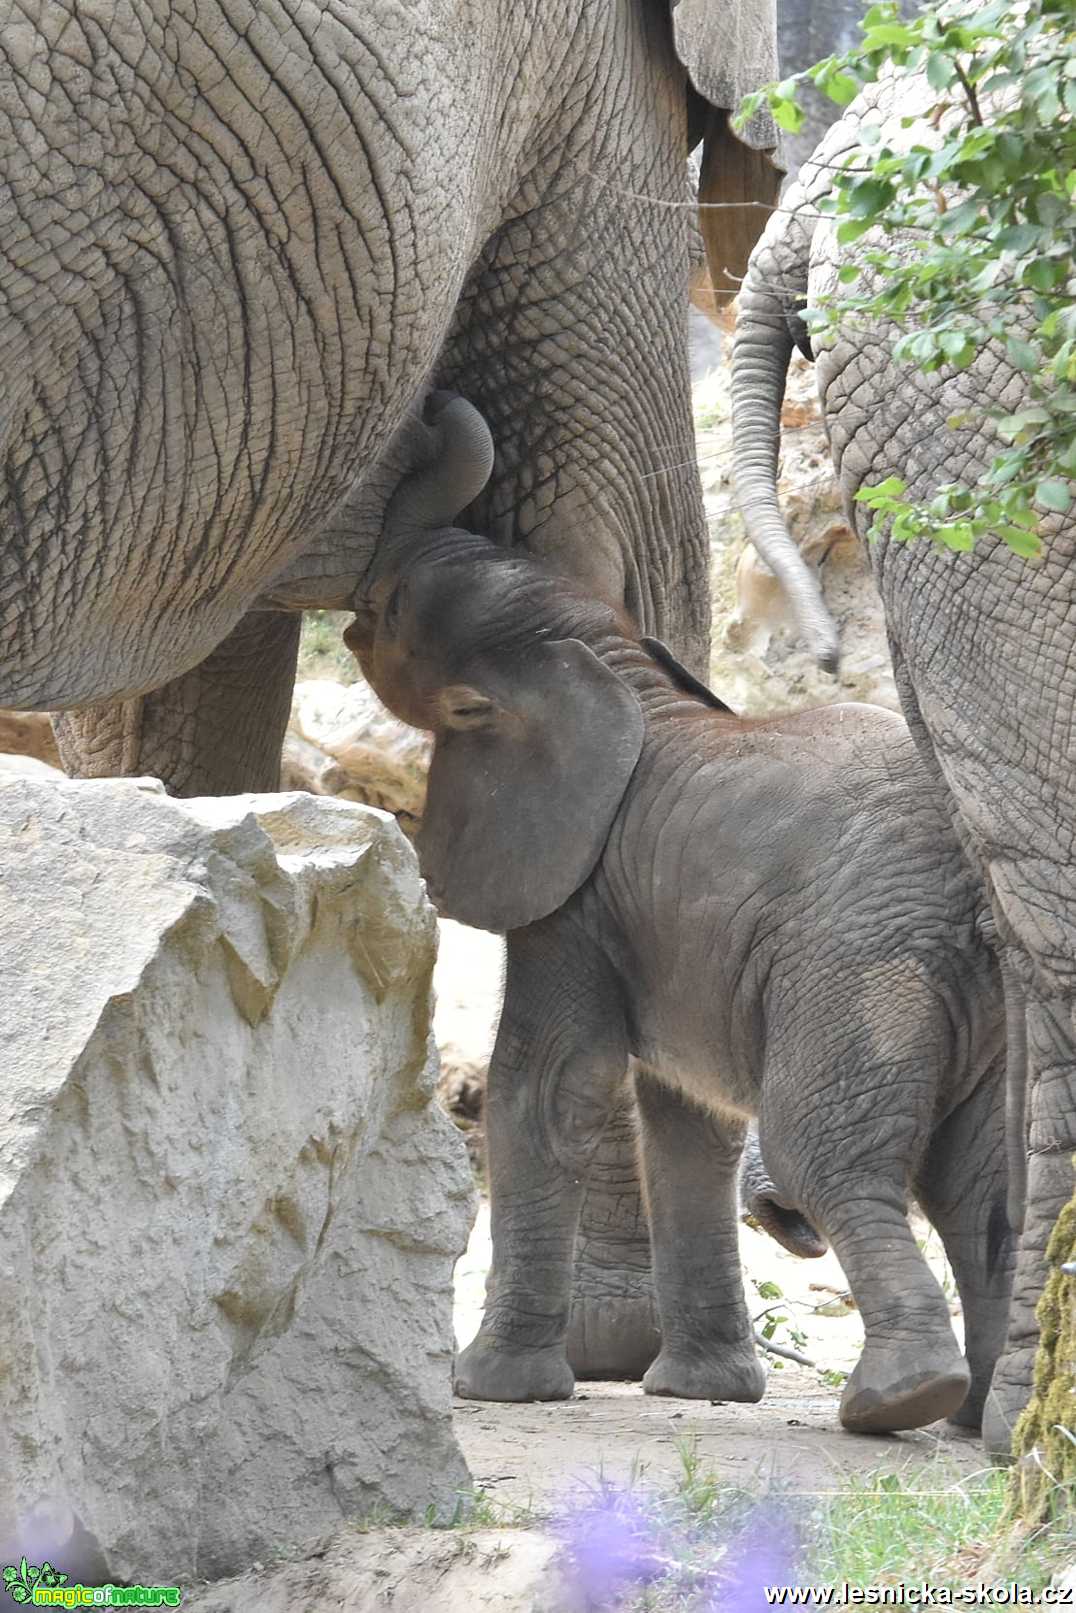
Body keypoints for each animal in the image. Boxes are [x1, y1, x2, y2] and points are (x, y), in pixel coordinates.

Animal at [350, 396, 1013, 1432]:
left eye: (390, 609)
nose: (433, 407)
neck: (613, 665)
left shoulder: (575, 895)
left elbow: (547, 1088)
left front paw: (488, 1386)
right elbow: (688, 1117)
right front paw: (702, 1390)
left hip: (861, 968)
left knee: (825, 1154)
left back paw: (897, 1402)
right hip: (987, 1009)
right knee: (979, 1193)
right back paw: (978, 1416)